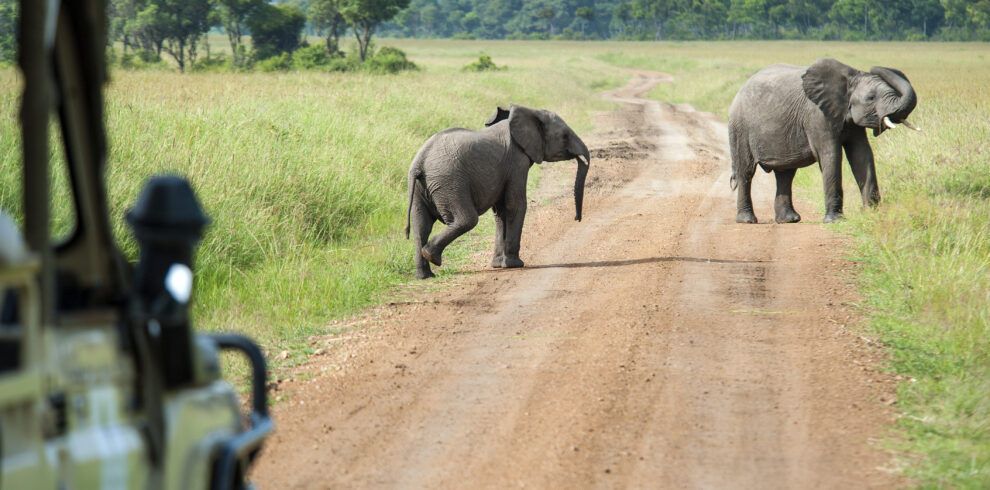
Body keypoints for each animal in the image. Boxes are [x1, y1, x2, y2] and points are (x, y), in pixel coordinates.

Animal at [406, 105, 592, 278]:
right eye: (565, 136)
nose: (577, 219)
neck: (530, 112)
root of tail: (420, 161)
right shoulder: (517, 161)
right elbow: (514, 205)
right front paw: (514, 265)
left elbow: (501, 210)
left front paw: (498, 265)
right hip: (449, 182)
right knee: (467, 219)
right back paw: (432, 256)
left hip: (422, 188)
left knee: (421, 225)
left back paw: (425, 275)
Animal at [728, 58, 924, 224]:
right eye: (871, 98)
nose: (874, 67)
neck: (850, 79)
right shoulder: (817, 116)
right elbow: (831, 155)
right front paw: (835, 220)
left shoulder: (850, 120)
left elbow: (862, 155)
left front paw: (873, 214)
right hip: (740, 127)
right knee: (746, 171)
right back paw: (747, 220)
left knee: (786, 173)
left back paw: (789, 220)